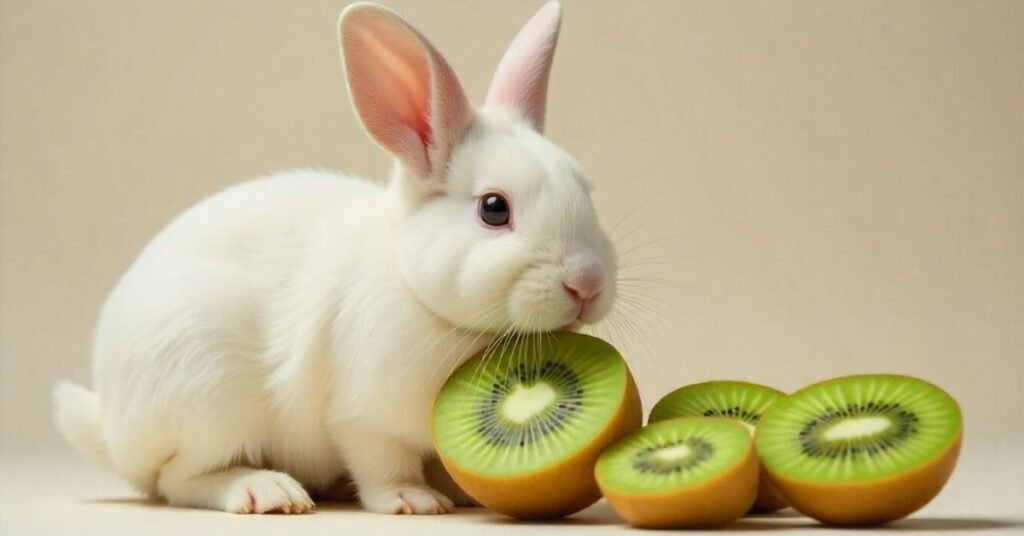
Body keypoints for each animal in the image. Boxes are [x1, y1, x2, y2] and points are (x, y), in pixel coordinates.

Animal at [53, 0, 617, 515]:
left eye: (587, 191)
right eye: (494, 209)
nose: (586, 284)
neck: (420, 294)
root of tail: (113, 429)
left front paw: (459, 492)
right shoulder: (361, 416)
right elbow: (382, 460)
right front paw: (414, 500)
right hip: (210, 394)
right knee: (179, 479)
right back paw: (267, 491)